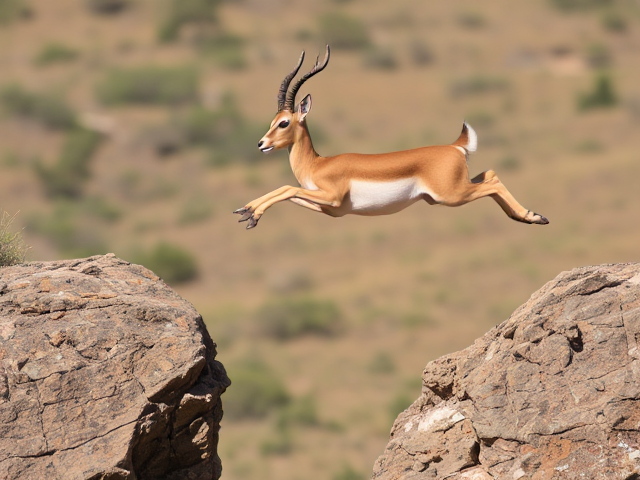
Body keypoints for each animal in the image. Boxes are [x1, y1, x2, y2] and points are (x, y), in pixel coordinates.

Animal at [234, 45, 549, 229]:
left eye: (284, 122)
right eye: (272, 121)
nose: (262, 144)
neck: (318, 164)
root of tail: (455, 146)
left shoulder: (330, 196)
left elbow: (286, 188)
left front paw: (250, 212)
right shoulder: (329, 208)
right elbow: (286, 193)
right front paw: (248, 212)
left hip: (452, 195)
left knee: (493, 181)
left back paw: (534, 216)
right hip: (451, 191)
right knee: (491, 175)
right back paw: (528, 216)